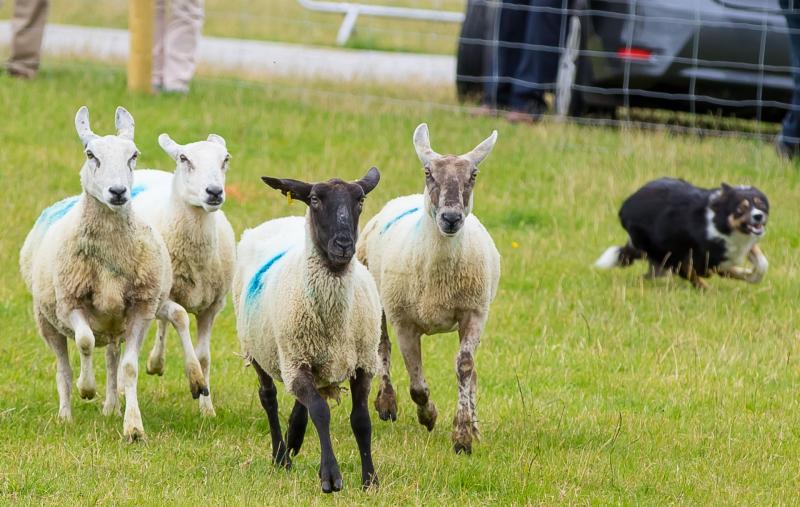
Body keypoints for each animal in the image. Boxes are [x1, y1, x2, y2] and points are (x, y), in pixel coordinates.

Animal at [19, 106, 172, 441]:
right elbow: (85, 341)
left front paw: (133, 427)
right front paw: (86, 388)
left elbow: (129, 368)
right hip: (46, 320)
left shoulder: (142, 309)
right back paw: (66, 413)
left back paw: (112, 406)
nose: (118, 191)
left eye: (133, 155)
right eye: (91, 154)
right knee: (63, 367)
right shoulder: (70, 303)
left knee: (113, 360)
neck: (111, 258)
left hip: (115, 324)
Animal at [131, 133, 236, 416]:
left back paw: (156, 362)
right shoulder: (163, 300)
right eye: (184, 158)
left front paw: (207, 408)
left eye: (225, 159)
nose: (214, 191)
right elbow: (179, 317)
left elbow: (204, 357)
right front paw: (195, 378)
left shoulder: (213, 306)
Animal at [232, 168, 381, 493]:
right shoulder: (296, 362)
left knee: (303, 402)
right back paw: (281, 456)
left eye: (360, 200)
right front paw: (330, 477)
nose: (344, 245)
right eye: (314, 200)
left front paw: (370, 479)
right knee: (270, 397)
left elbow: (361, 420)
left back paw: (294, 437)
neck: (334, 322)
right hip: (261, 348)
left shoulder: (363, 363)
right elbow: (320, 412)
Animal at [356, 123, 500, 455]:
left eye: (473, 175)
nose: (451, 217)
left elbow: (465, 367)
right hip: (380, 300)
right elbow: (417, 387)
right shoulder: (405, 322)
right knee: (382, 346)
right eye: (428, 172)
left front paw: (463, 435)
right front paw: (429, 415)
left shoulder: (474, 313)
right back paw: (386, 403)